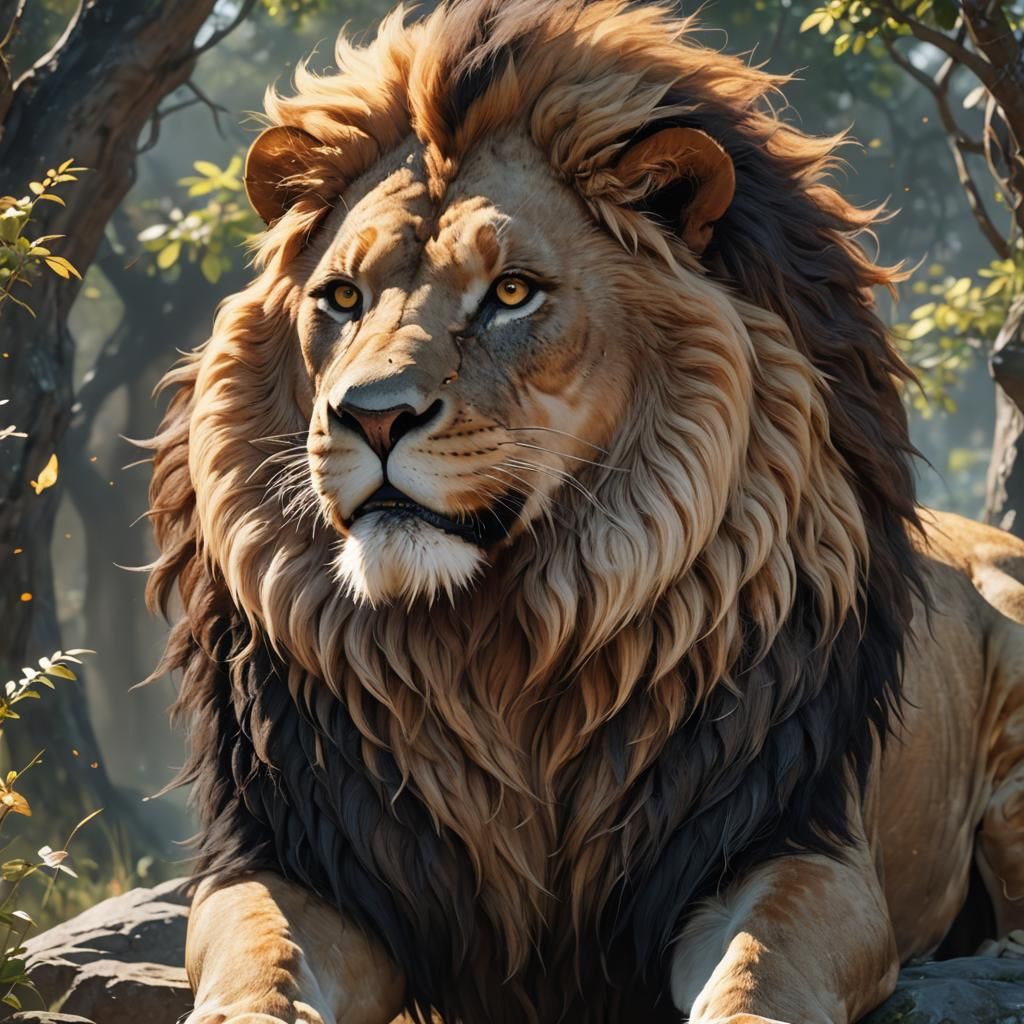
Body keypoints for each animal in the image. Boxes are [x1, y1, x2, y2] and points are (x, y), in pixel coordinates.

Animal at [146, 3, 1024, 1023]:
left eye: (512, 293)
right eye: (342, 298)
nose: (371, 415)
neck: (499, 644)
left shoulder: (790, 842)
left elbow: (758, 967)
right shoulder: (299, 854)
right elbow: (265, 961)